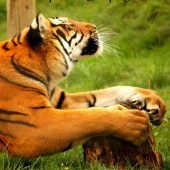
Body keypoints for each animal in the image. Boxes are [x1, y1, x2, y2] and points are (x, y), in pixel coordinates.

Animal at [0, 13, 166, 159]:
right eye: (69, 26)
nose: (94, 26)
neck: (46, 71)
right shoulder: (33, 124)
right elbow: (88, 116)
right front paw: (132, 121)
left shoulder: (61, 99)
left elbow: (104, 93)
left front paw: (153, 99)